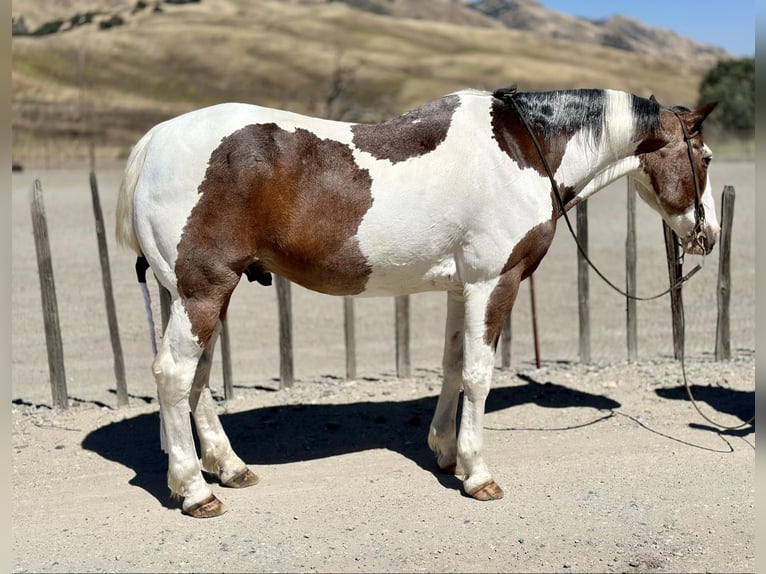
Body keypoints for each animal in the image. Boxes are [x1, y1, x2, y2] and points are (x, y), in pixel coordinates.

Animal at [116, 86, 719, 517]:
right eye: (707, 158)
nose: (708, 236)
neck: (522, 150)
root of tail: (156, 140)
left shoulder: (460, 287)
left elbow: (453, 366)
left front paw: (447, 453)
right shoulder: (494, 282)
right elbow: (478, 374)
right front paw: (478, 473)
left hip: (196, 294)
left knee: (196, 381)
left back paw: (228, 468)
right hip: (204, 289)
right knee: (175, 375)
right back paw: (195, 491)